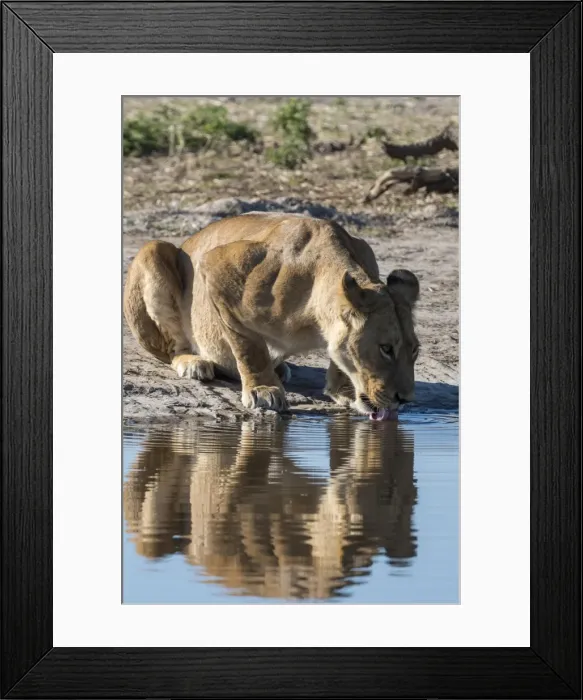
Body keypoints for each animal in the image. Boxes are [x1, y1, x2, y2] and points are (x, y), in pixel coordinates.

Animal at [123, 213, 420, 419]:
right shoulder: (217, 266)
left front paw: (343, 388)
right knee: (173, 348)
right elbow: (249, 346)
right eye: (385, 349)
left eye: (415, 350)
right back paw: (194, 363)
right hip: (154, 249)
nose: (405, 399)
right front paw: (264, 390)